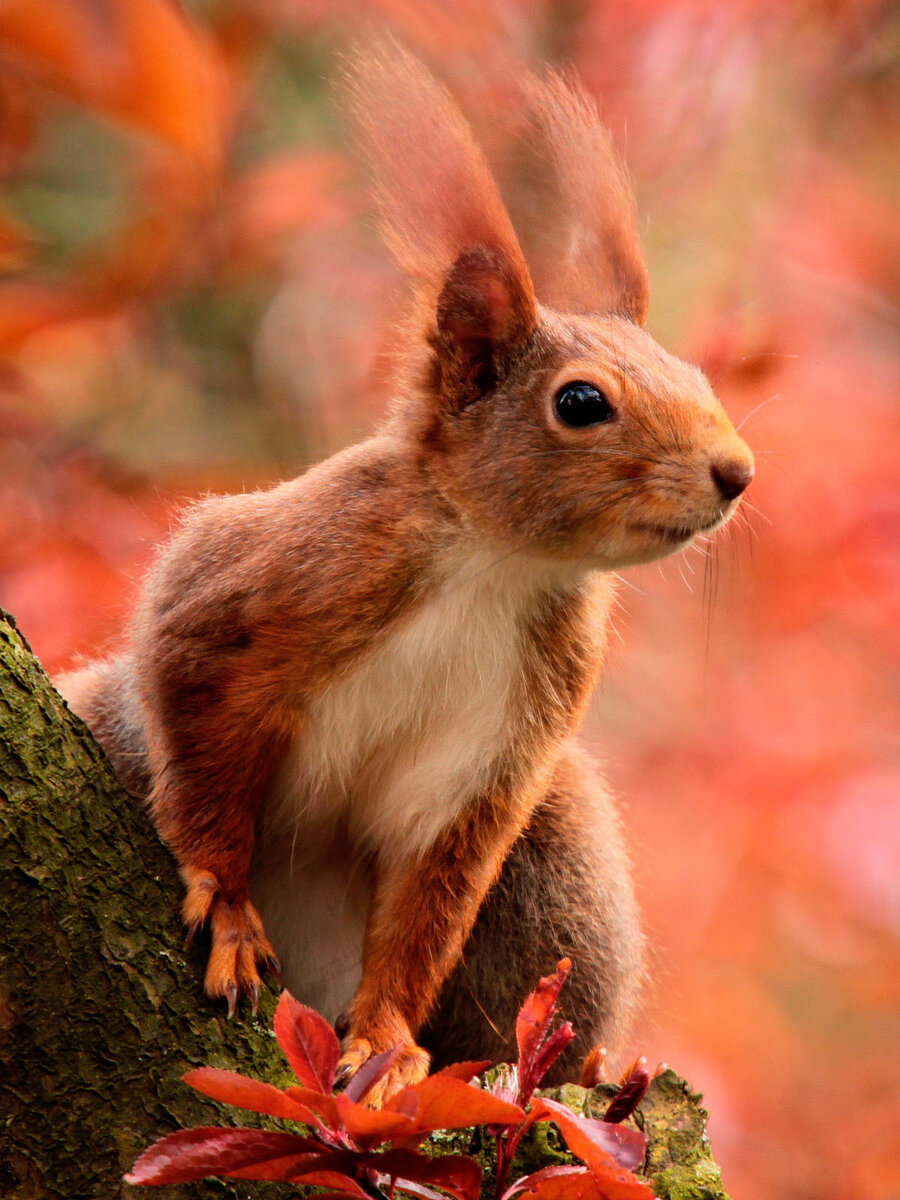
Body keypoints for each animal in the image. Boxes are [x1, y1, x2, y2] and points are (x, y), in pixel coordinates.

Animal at [60, 54, 758, 1104]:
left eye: (695, 374)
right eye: (580, 402)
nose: (737, 472)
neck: (497, 567)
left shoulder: (497, 755)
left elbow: (429, 905)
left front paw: (386, 1046)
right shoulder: (251, 590)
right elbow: (199, 742)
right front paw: (226, 905)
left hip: (565, 861)